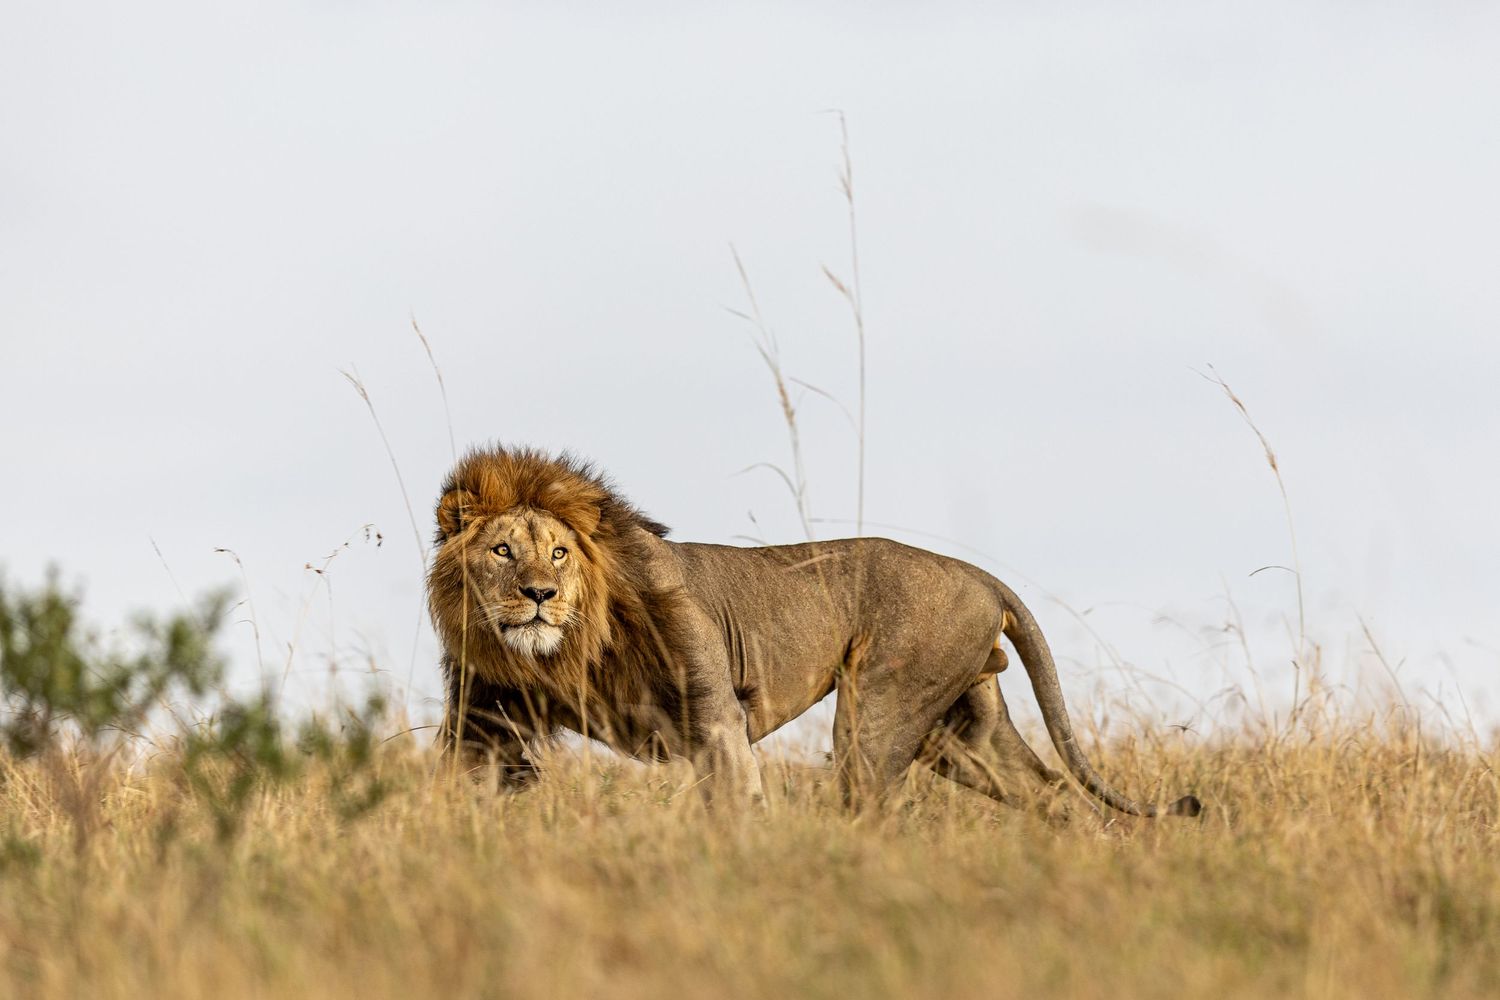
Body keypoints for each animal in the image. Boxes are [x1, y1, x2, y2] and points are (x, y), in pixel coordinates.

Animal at [427, 445, 1201, 818]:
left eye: (559, 553)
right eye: (503, 551)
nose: (539, 595)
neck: (561, 652)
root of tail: (980, 575)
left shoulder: (715, 716)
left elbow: (737, 801)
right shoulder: (485, 720)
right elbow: (463, 781)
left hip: (880, 711)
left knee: (872, 802)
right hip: (965, 732)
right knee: (1055, 797)